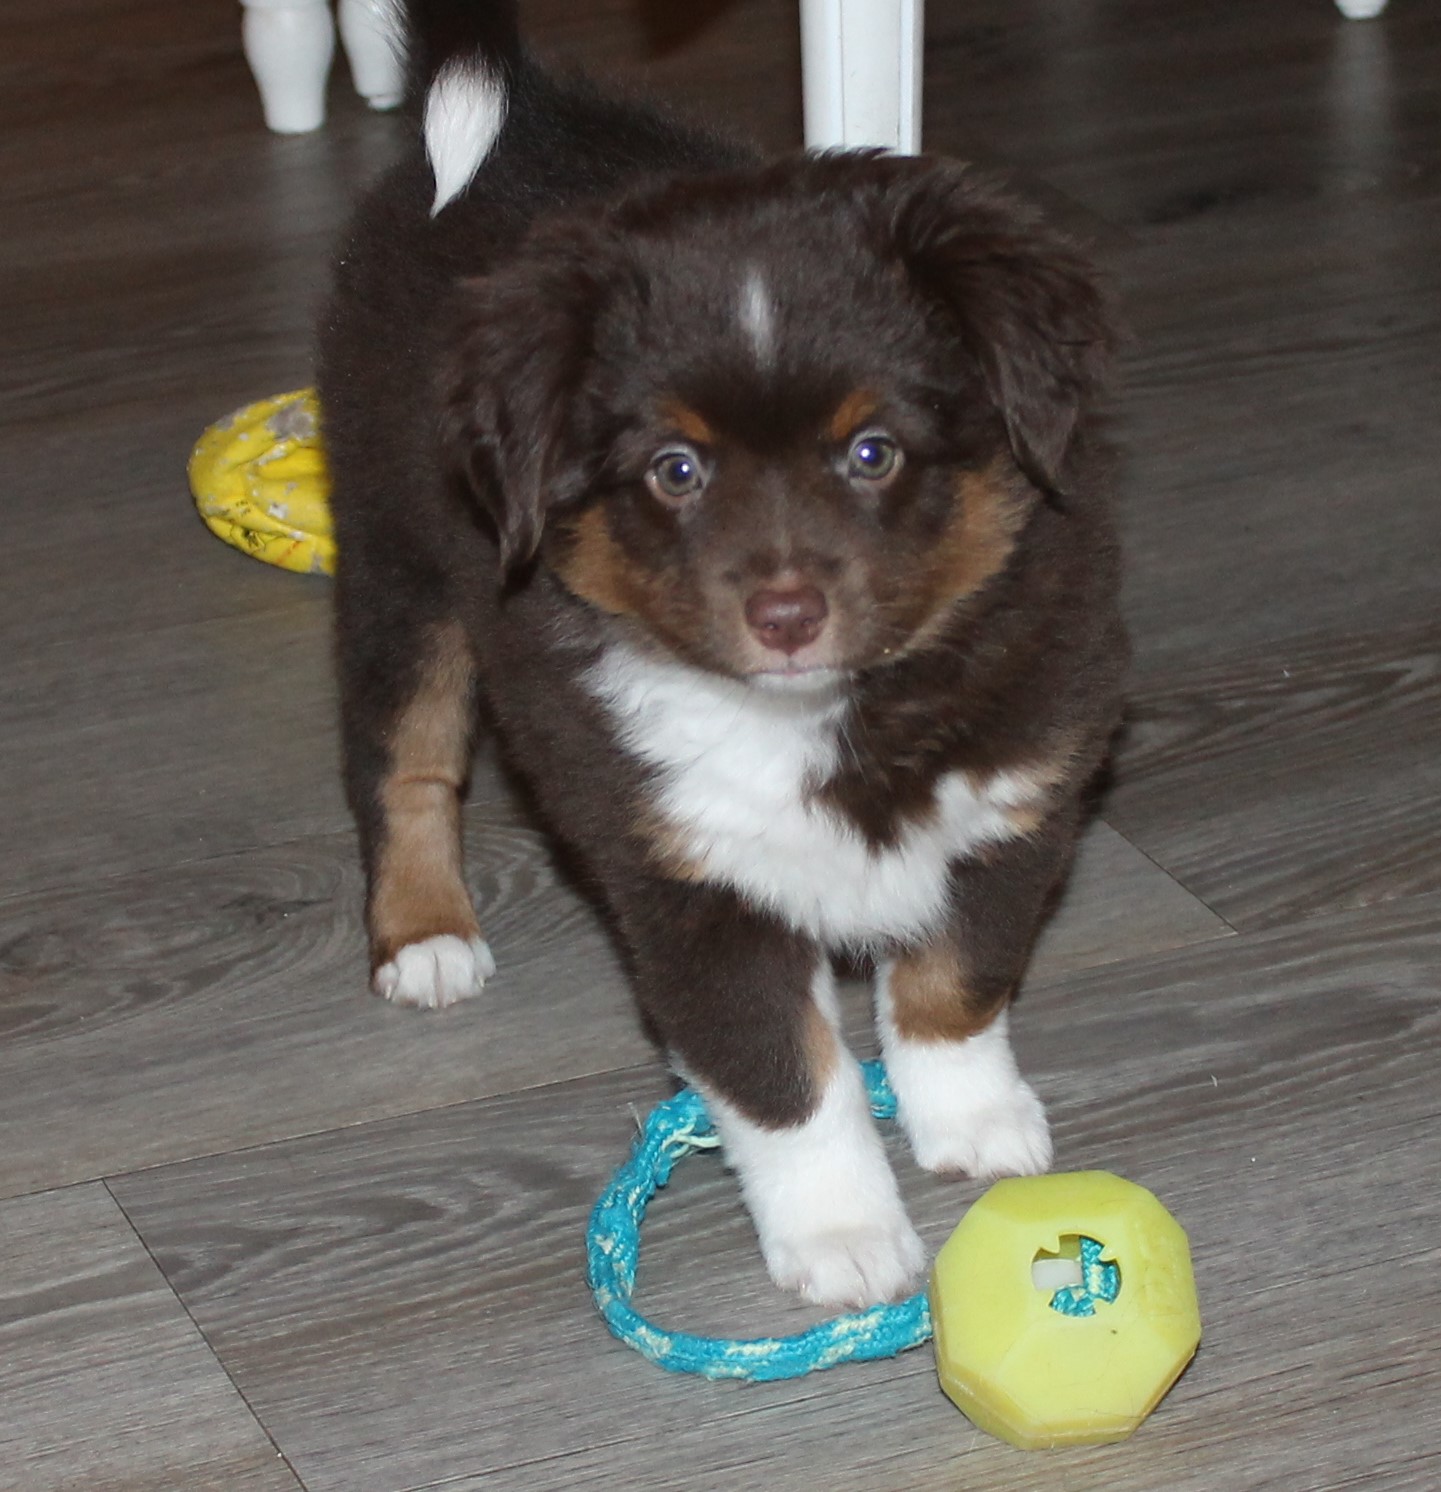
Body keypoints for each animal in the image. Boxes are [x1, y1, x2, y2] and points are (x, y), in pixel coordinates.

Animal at [322, 0, 1133, 1306]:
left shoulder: (1015, 803)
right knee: (403, 758)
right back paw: (426, 932)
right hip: (400, 554)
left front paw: (973, 1123)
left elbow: (954, 982)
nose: (786, 613)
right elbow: (783, 1074)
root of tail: (527, 118)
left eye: (871, 451)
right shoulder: (691, 886)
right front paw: (843, 1236)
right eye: (676, 470)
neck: (832, 717)